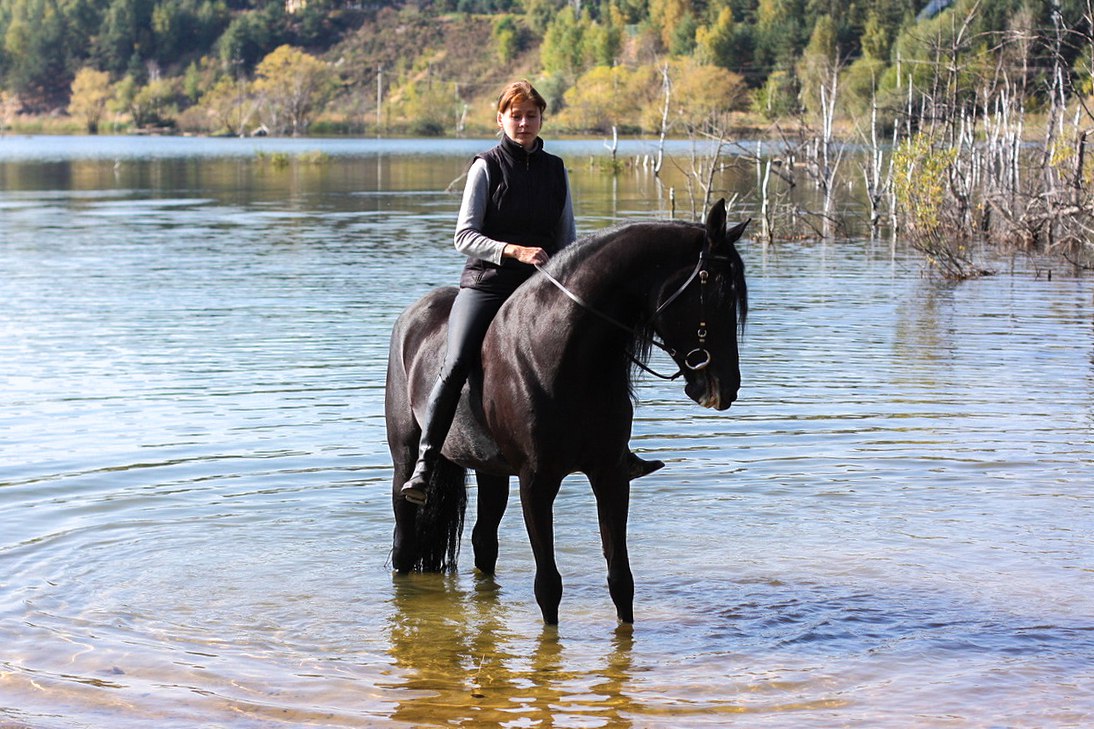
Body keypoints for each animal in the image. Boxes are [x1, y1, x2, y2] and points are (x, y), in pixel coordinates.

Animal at [385, 199, 749, 625]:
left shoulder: (610, 475)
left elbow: (621, 581)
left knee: (483, 542)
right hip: (405, 458)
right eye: (713, 289)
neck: (564, 355)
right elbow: (548, 587)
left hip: (491, 471)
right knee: (404, 542)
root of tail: (411, 317)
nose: (725, 387)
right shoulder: (537, 482)